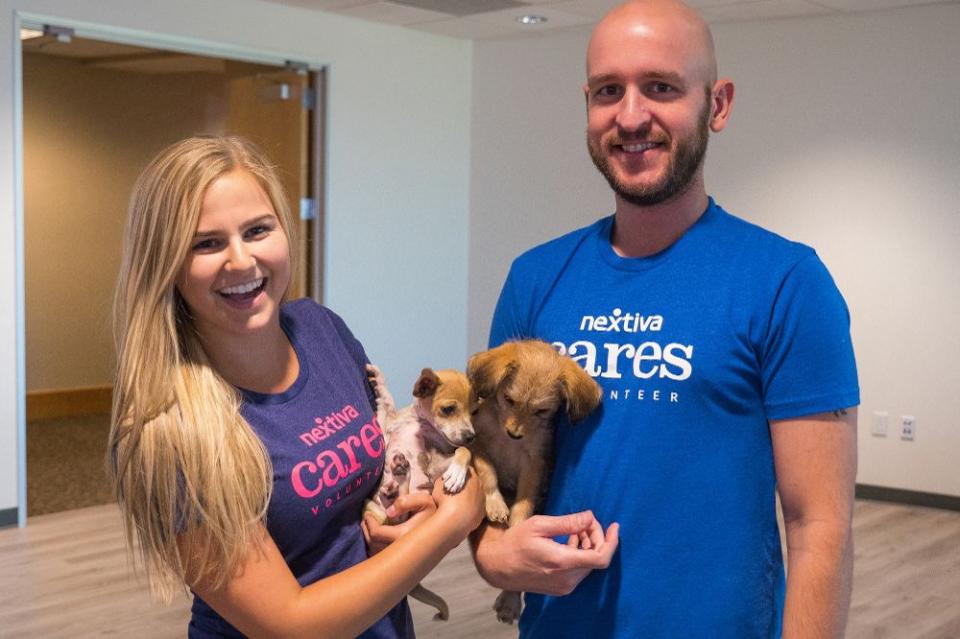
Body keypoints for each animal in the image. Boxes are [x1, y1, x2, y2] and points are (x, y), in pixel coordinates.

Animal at [364, 364, 476, 620]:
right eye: (448, 409)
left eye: (474, 411)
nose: (471, 436)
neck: (419, 423)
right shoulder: (384, 427)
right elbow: (386, 402)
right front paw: (380, 381)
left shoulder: (436, 463)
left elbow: (463, 452)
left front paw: (457, 474)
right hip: (372, 510)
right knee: (393, 516)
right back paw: (394, 486)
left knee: (399, 512)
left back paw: (397, 482)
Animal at [466, 340, 600, 624]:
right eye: (509, 400)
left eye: (541, 411)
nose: (514, 434)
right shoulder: (478, 444)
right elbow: (488, 473)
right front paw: (495, 504)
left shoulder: (534, 465)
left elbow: (523, 504)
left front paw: (518, 524)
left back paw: (510, 602)